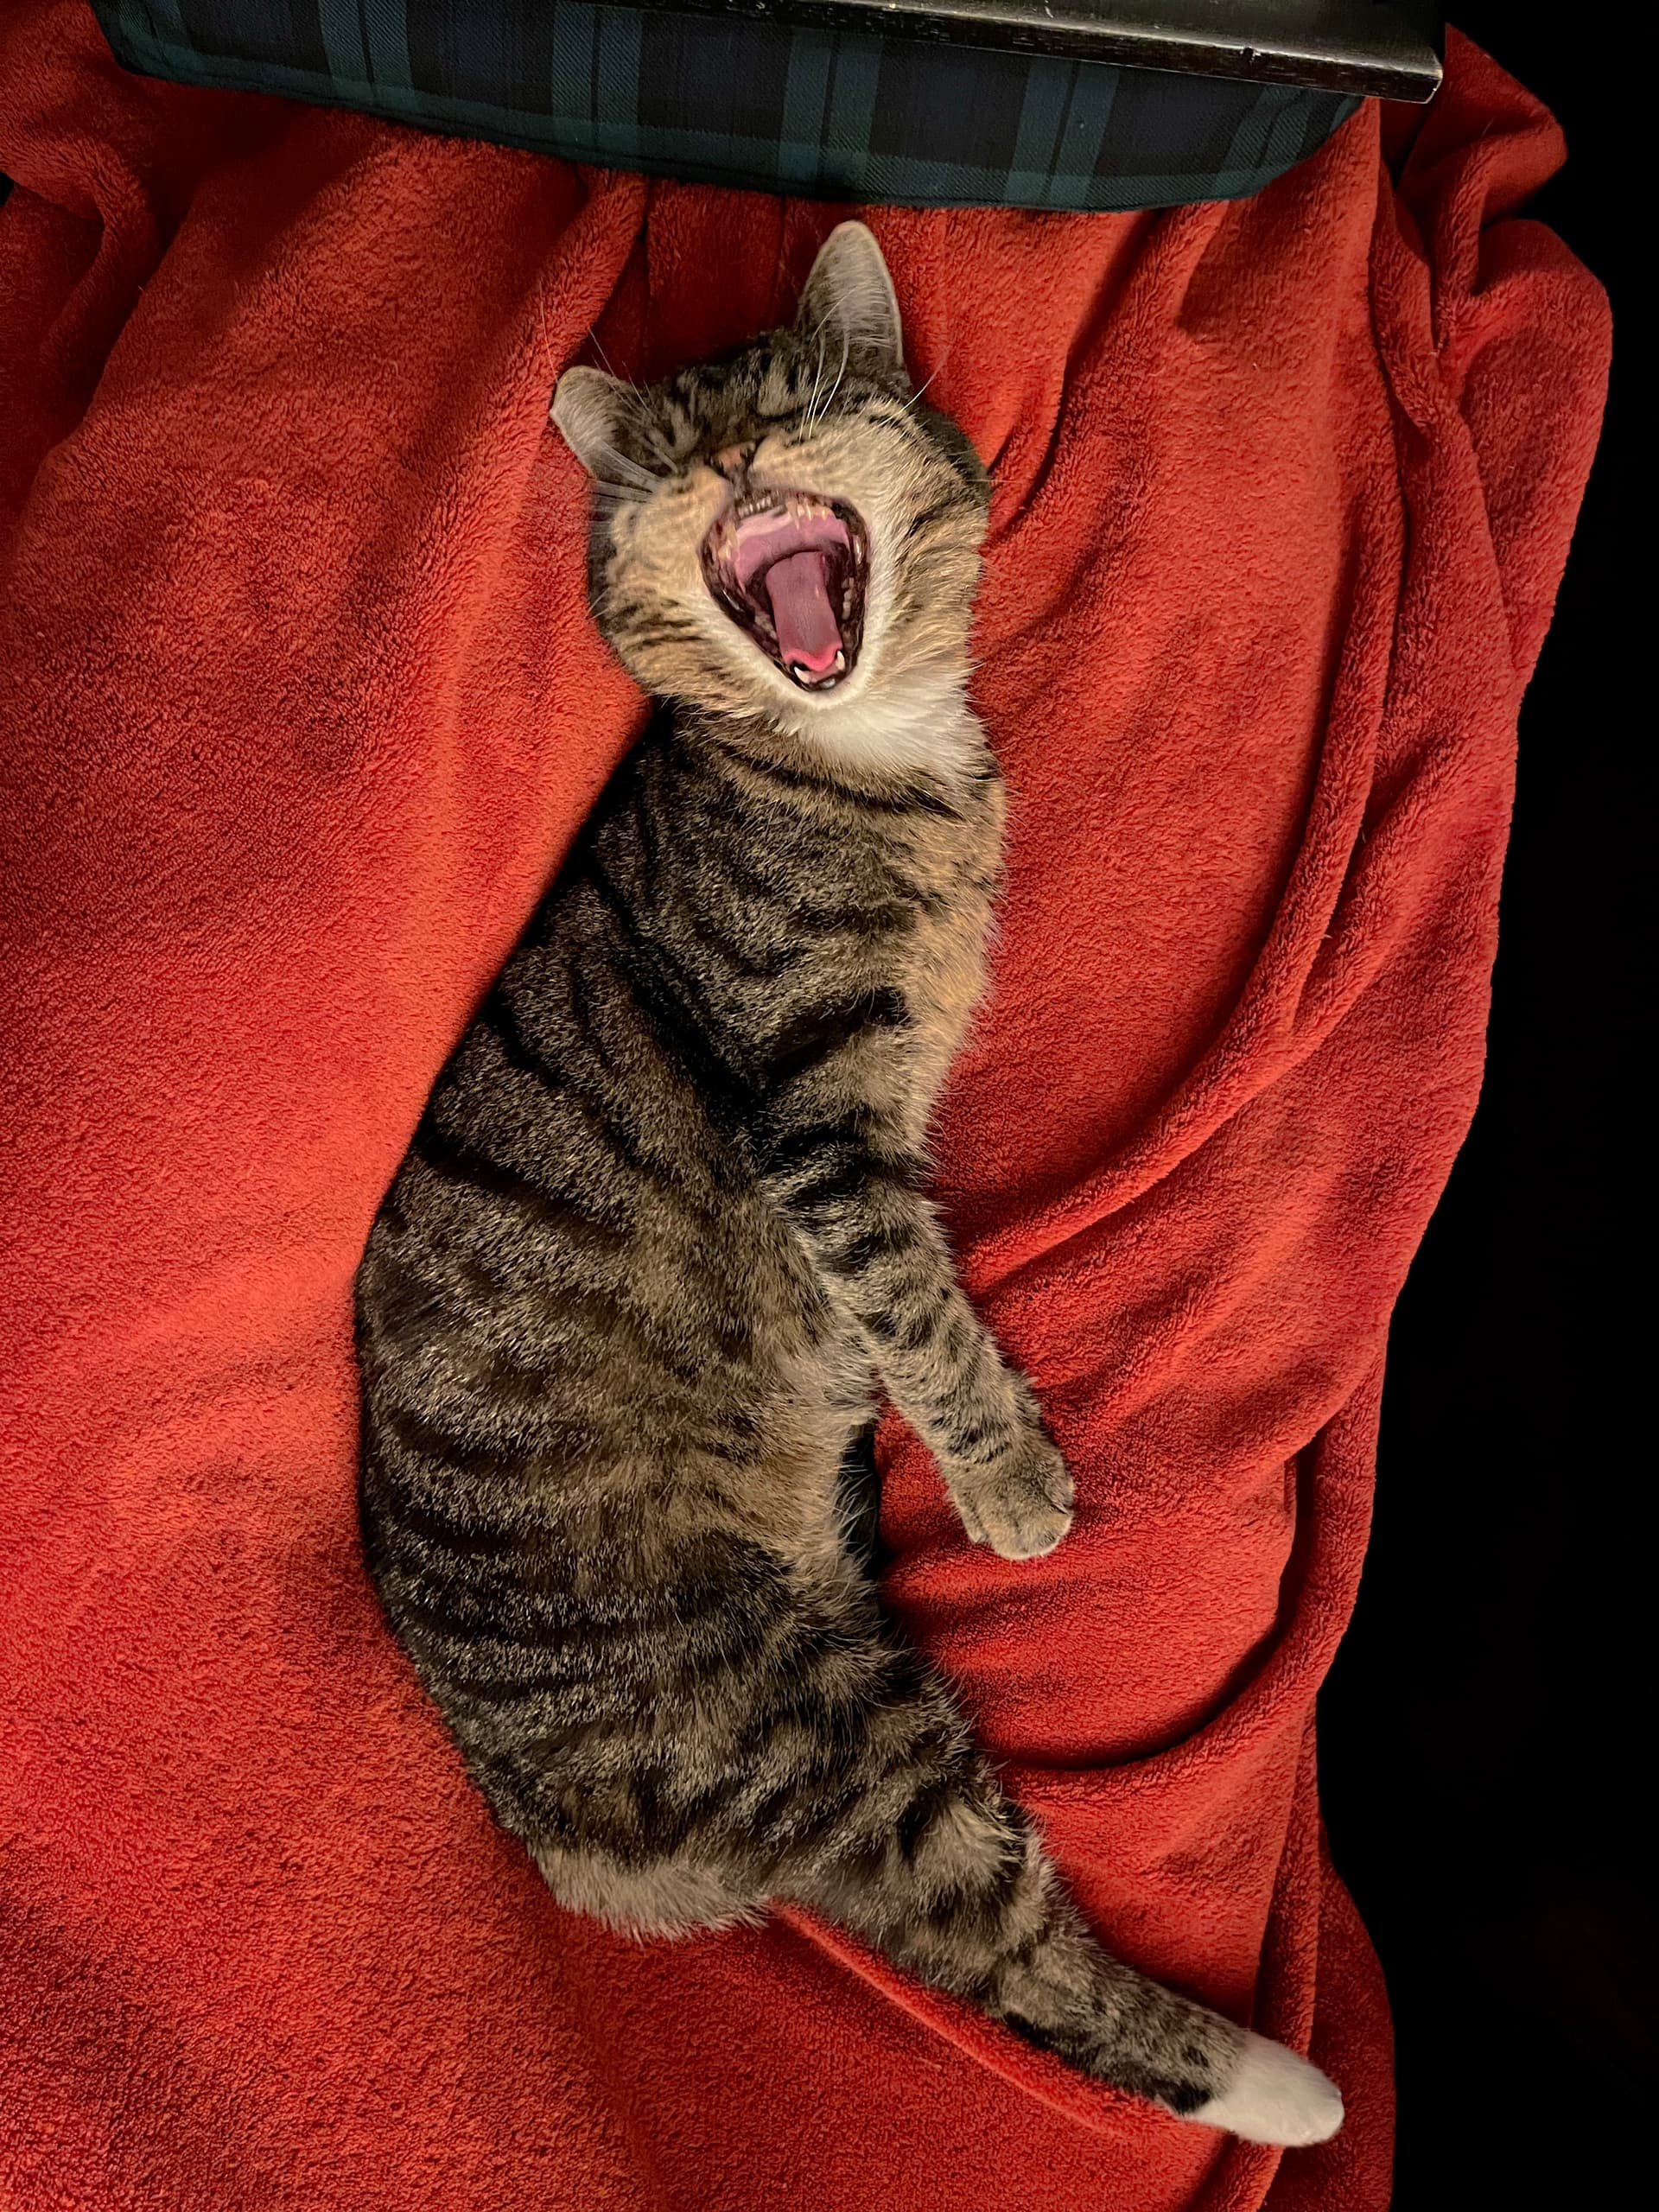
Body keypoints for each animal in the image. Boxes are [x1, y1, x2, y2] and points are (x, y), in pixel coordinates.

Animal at [354, 222, 1343, 2150]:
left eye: (801, 399)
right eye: (673, 454)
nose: (738, 457)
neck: (869, 752)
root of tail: (555, 1836)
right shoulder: (811, 1111)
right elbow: (913, 1300)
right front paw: (1014, 1479)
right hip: (812, 1726)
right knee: (1011, 1957)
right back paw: (1286, 2086)